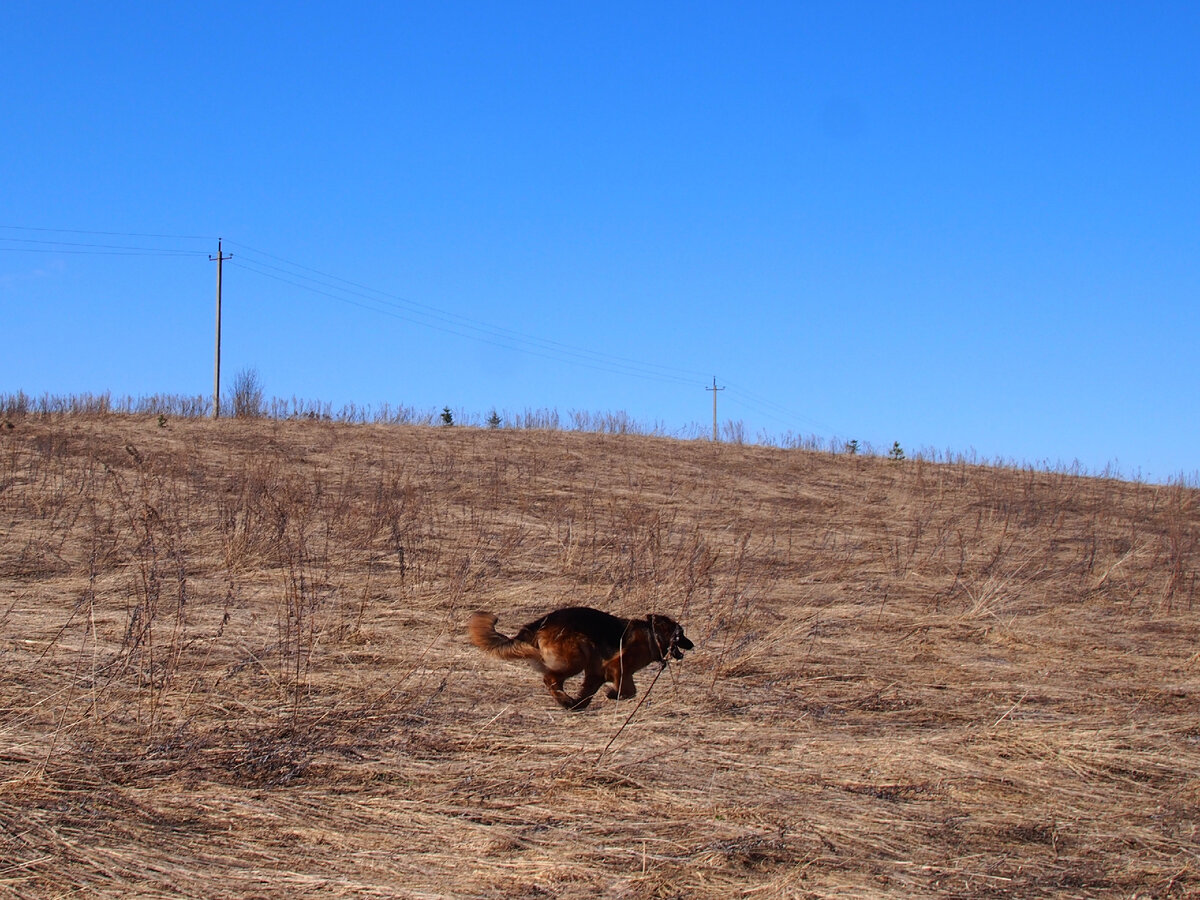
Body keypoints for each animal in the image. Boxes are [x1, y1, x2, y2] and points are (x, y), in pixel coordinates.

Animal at [468, 607, 696, 710]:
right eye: (681, 634)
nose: (692, 644)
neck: (652, 636)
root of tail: (540, 624)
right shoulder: (618, 667)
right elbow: (629, 690)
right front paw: (611, 694)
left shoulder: (596, 673)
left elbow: (588, 692)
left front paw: (580, 703)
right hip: (577, 657)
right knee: (550, 678)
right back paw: (564, 700)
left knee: (554, 680)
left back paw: (568, 701)